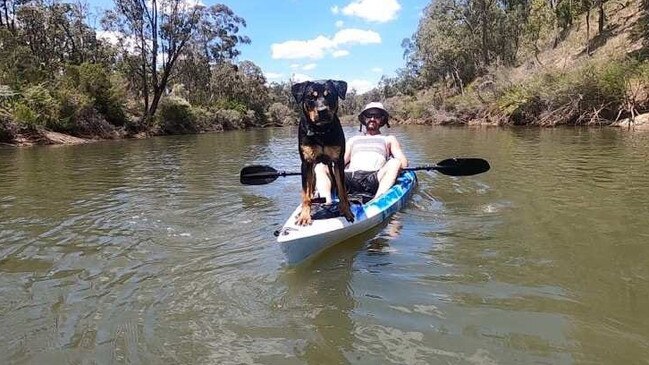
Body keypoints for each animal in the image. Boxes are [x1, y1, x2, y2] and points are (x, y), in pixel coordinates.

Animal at [292, 79, 354, 225]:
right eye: (311, 97)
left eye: (329, 95)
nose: (322, 111)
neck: (321, 132)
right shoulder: (306, 163)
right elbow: (305, 194)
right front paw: (304, 216)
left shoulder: (338, 161)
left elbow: (342, 191)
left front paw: (347, 211)